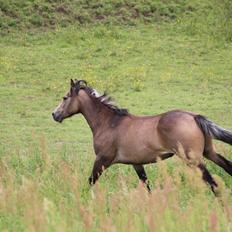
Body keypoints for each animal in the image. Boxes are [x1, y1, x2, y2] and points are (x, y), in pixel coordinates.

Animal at [52, 79, 232, 193]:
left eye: (65, 97)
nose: (54, 114)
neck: (109, 123)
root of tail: (193, 116)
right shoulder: (136, 163)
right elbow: (147, 186)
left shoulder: (102, 160)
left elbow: (90, 182)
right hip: (208, 152)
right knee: (227, 166)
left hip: (193, 159)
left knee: (213, 183)